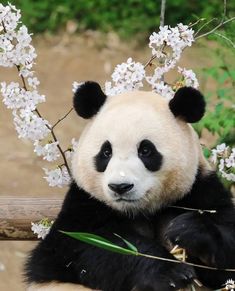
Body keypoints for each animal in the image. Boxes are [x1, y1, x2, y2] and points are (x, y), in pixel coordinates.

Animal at [25, 82, 235, 291]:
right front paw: (170, 272)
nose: (120, 187)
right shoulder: (84, 203)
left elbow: (226, 256)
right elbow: (80, 247)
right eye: (106, 152)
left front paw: (188, 229)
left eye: (146, 150)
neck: (139, 211)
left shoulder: (200, 191)